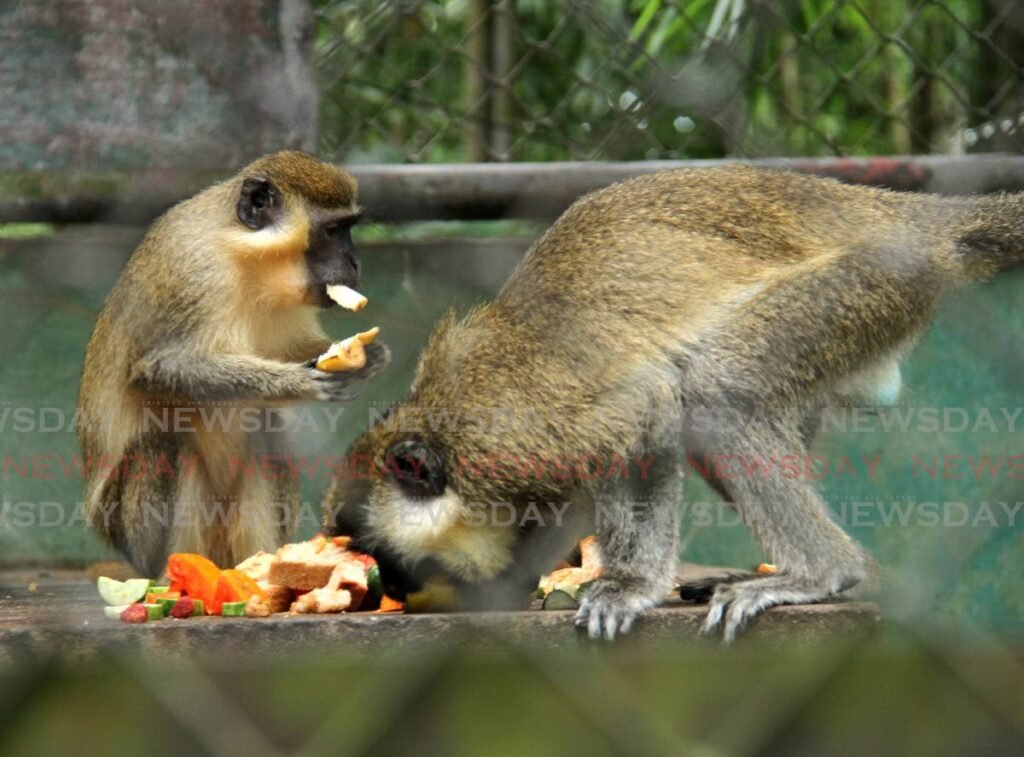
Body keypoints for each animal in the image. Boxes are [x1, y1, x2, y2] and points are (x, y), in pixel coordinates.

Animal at [77, 149, 389, 573]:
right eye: (332, 231)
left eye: (348, 228)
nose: (356, 263)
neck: (245, 256)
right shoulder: (193, 272)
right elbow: (156, 370)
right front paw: (297, 382)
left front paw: (365, 356)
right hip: (126, 528)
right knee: (165, 436)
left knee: (265, 430)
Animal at [327, 163, 1024, 639]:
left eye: (387, 557)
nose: (391, 585)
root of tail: (893, 214)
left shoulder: (514, 441)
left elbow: (651, 410)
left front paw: (630, 587)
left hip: (877, 274)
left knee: (715, 389)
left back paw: (822, 574)